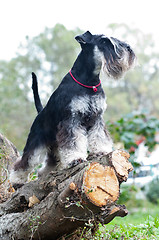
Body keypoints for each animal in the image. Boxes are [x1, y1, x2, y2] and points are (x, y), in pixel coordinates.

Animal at [9, 31, 136, 186]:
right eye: (104, 42)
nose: (129, 49)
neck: (89, 81)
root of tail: (40, 113)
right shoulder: (71, 120)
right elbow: (73, 142)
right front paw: (75, 158)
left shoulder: (97, 118)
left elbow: (99, 136)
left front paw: (101, 151)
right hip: (36, 143)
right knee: (25, 162)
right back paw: (16, 180)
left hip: (54, 146)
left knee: (49, 164)